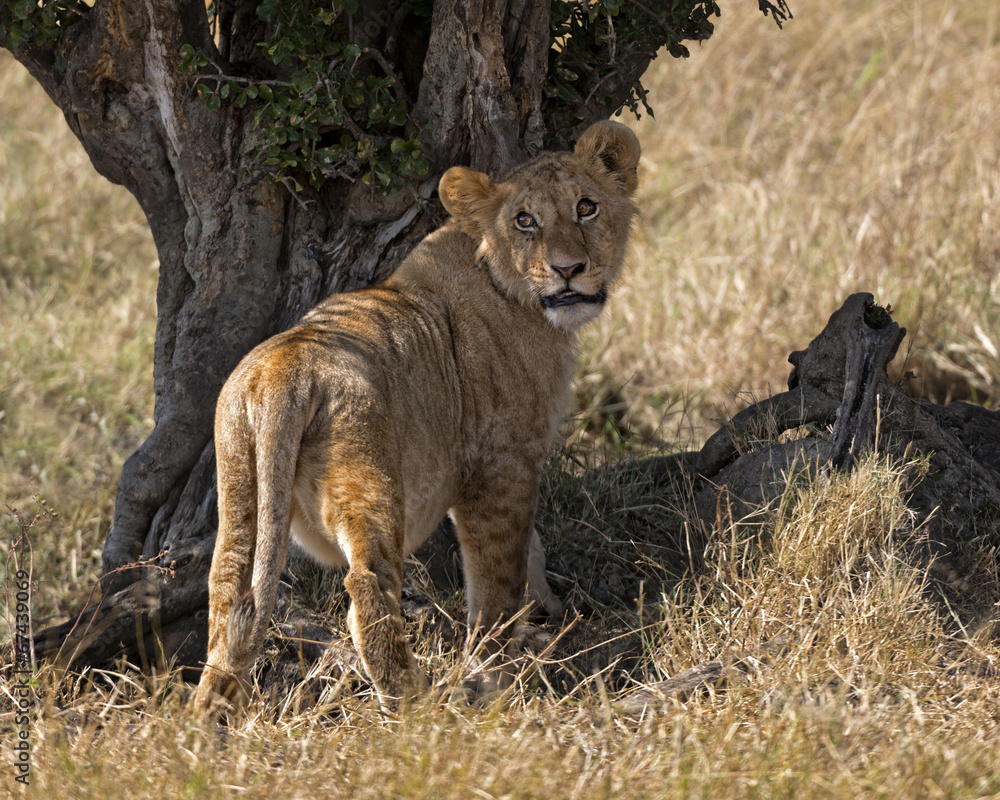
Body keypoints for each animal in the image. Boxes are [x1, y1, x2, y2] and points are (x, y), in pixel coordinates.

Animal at [193, 120, 641, 711]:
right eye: (525, 221)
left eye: (586, 207)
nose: (569, 270)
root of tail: (286, 372)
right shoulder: (500, 462)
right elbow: (500, 569)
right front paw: (500, 662)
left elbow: (530, 550)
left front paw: (546, 612)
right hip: (371, 480)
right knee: (368, 586)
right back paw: (419, 706)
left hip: (239, 482)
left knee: (230, 591)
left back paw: (210, 709)